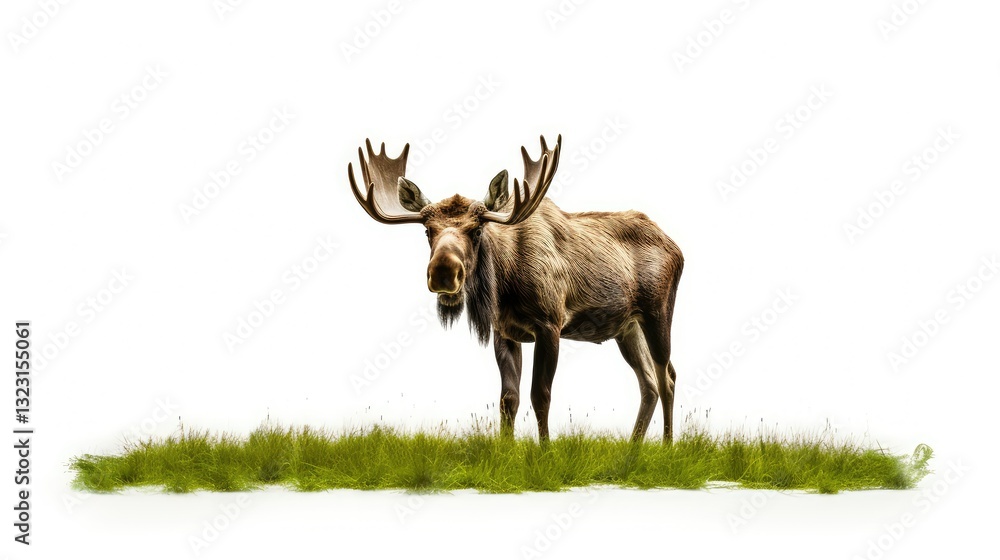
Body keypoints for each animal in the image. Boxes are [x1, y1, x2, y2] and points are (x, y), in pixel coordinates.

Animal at [347, 135, 683, 442]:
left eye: (477, 230)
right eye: (428, 231)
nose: (443, 273)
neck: (505, 286)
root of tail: (676, 248)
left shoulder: (550, 323)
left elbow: (541, 395)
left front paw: (545, 451)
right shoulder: (505, 331)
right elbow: (508, 399)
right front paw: (505, 451)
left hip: (658, 311)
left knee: (667, 376)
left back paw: (666, 446)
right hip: (627, 327)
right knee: (648, 383)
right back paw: (633, 451)